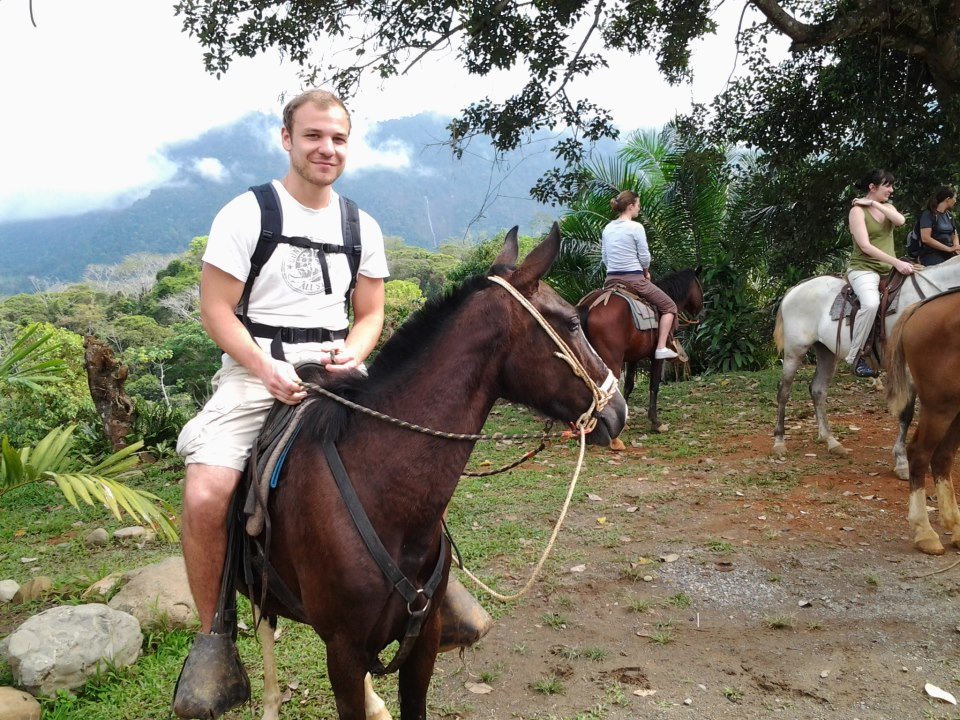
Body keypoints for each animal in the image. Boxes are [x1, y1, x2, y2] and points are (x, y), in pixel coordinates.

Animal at [576, 270, 704, 438]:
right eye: (700, 287)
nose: (702, 313)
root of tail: (591, 306)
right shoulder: (655, 357)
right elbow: (654, 385)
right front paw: (655, 422)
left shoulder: (632, 358)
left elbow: (629, 385)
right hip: (611, 361)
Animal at [772, 256, 960, 470]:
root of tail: (796, 288)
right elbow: (907, 412)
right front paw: (902, 461)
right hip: (795, 350)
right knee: (784, 392)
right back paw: (779, 441)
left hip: (827, 352)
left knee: (818, 391)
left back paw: (831, 441)